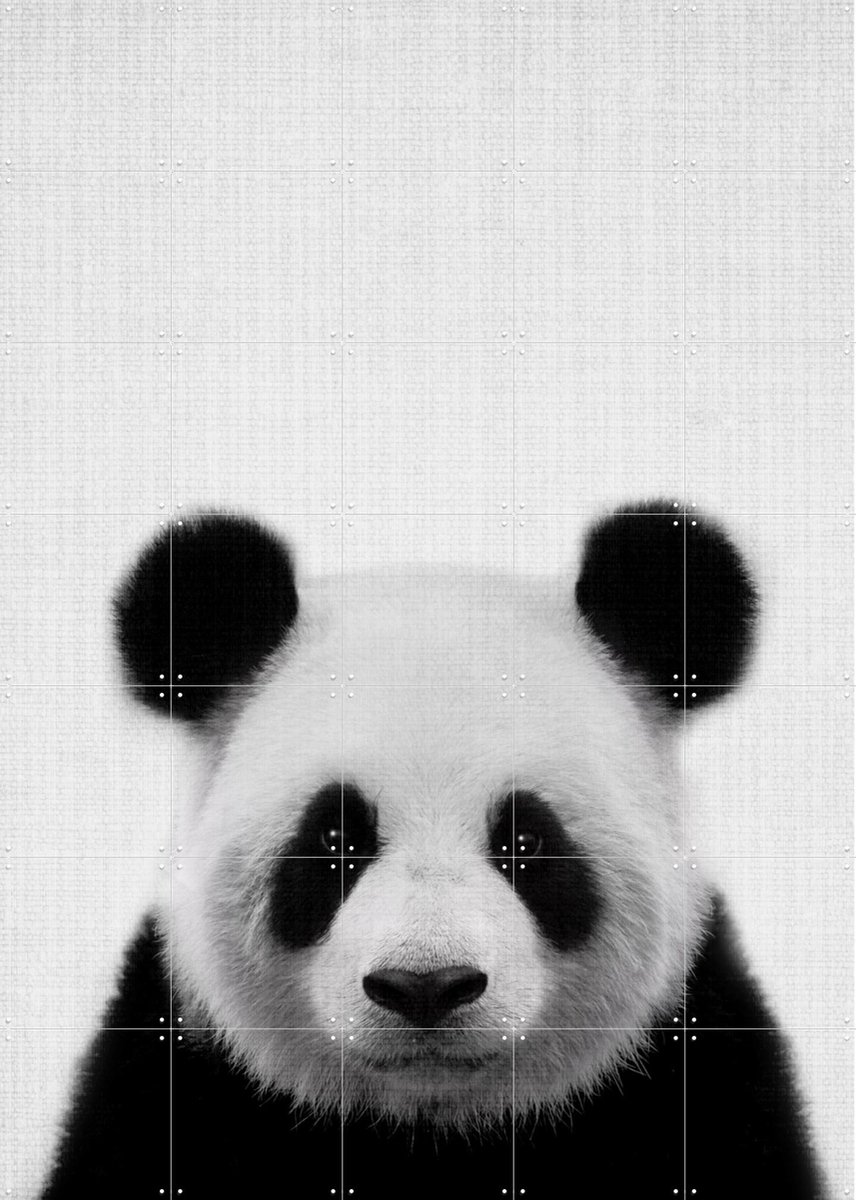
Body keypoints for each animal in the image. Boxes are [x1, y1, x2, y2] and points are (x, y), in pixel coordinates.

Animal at [42, 502, 825, 1199]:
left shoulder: (699, 1080)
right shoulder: (171, 1091)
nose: (426, 987)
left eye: (526, 839)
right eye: (334, 838)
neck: (431, 1130)